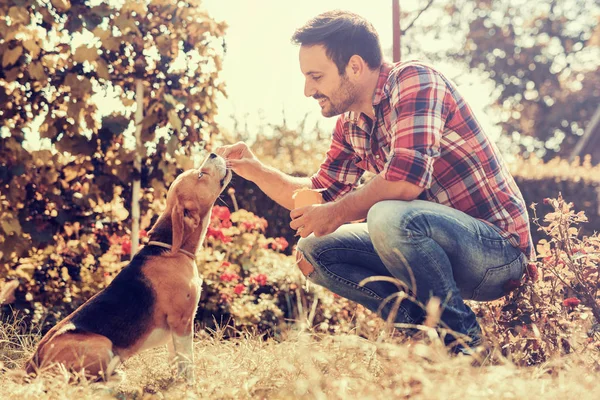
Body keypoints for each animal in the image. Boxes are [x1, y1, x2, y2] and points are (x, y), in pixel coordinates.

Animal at [23, 152, 231, 382]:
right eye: (201, 175)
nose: (212, 153)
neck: (171, 250)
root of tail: (35, 360)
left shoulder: (175, 328)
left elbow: (175, 358)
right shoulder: (182, 322)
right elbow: (187, 361)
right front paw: (189, 384)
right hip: (103, 344)